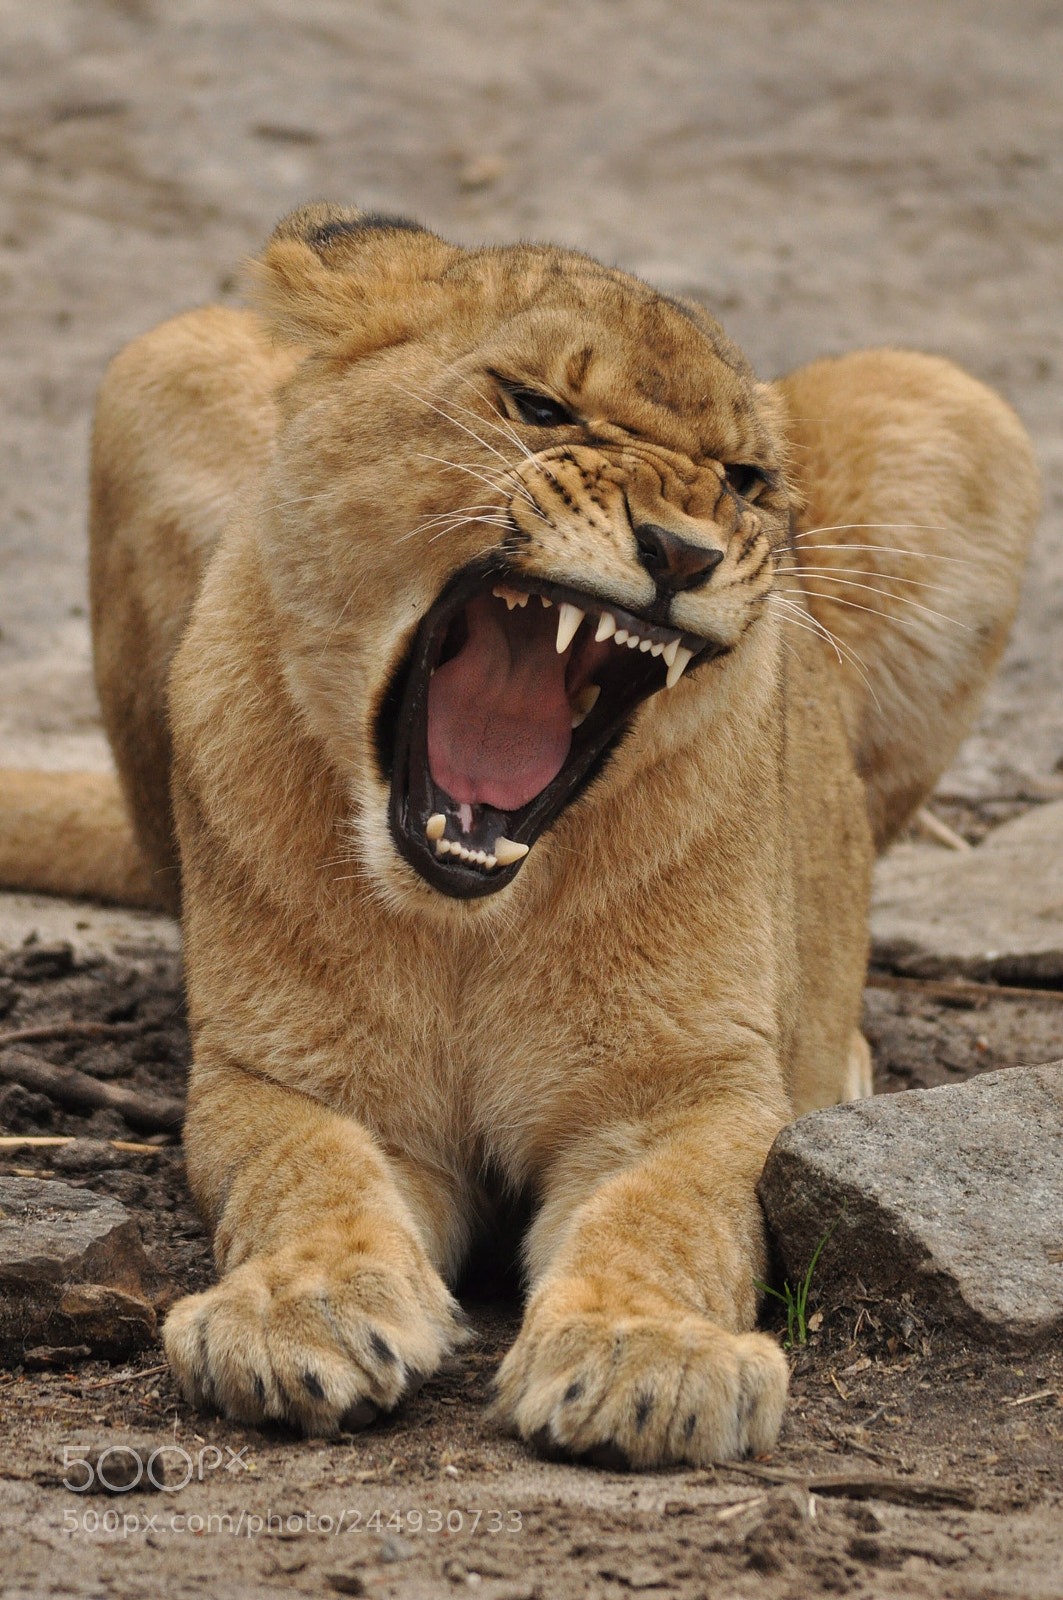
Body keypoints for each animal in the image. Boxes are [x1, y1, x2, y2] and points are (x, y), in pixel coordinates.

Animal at [0, 205, 1038, 1467]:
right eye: (537, 407)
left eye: (744, 481)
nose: (684, 552)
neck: (467, 926)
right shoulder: (280, 1076)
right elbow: (302, 1173)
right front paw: (300, 1313)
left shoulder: (690, 1090)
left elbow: (667, 1215)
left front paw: (646, 1357)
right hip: (163, 362)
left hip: (955, 404)